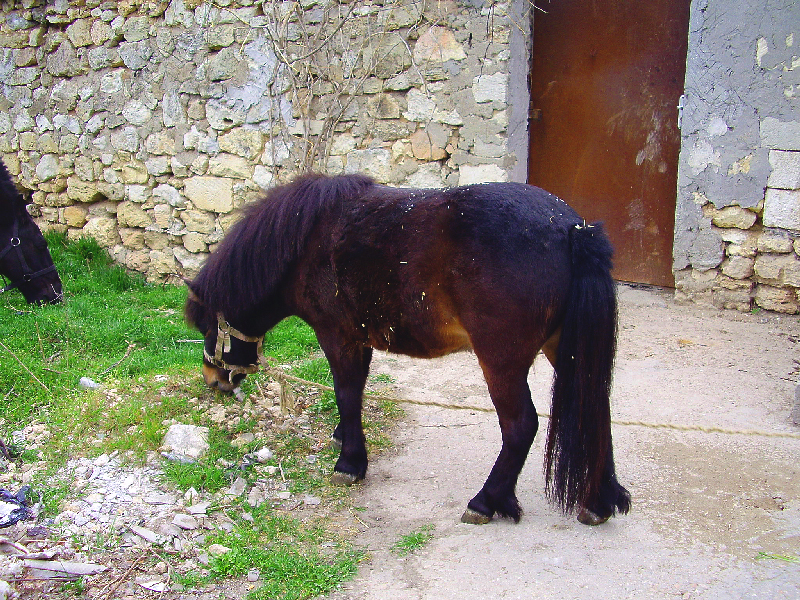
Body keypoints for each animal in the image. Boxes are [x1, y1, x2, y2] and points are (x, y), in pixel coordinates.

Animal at [188, 173, 632, 524]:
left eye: (207, 324)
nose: (212, 379)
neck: (307, 238)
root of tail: (573, 229)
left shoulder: (338, 336)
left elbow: (346, 392)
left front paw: (350, 463)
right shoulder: (360, 339)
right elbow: (355, 394)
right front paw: (342, 437)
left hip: (501, 362)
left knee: (521, 426)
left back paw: (486, 501)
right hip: (564, 351)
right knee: (595, 409)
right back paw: (599, 502)